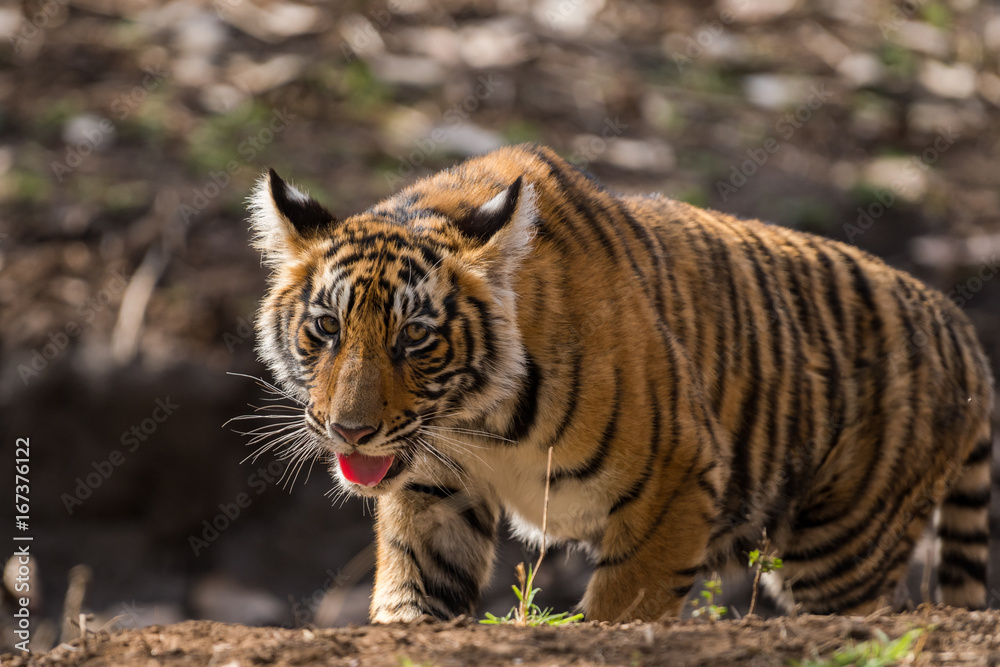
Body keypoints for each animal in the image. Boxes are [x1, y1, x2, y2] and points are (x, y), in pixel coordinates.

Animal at [247, 143, 993, 623]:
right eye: (326, 327)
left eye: (415, 338)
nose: (350, 431)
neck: (477, 419)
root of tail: (959, 323)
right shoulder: (434, 491)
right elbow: (412, 595)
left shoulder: (676, 482)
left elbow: (620, 610)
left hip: (843, 548)